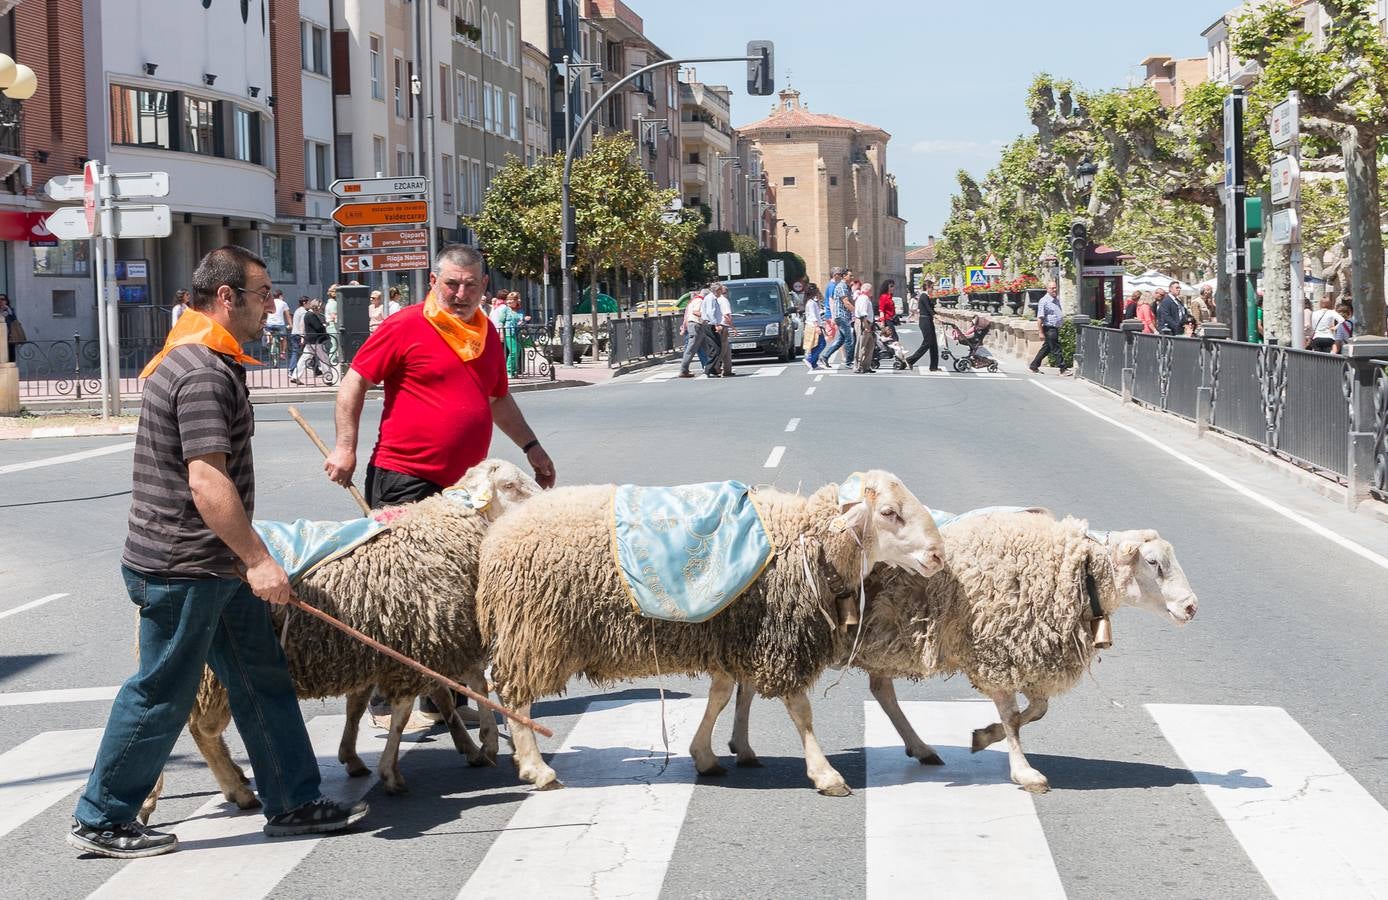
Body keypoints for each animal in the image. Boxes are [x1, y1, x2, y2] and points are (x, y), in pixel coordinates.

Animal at [139, 458, 541, 822]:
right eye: (510, 486)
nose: (545, 501)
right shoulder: (420, 642)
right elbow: (407, 711)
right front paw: (395, 772)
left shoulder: (391, 645)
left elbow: (362, 706)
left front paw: (355, 757)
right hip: (212, 669)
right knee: (200, 729)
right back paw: (231, 790)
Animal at [474, 472, 943, 794]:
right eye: (889, 513)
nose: (938, 555)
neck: (806, 542)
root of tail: (496, 537)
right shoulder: (777, 637)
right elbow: (800, 710)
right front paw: (825, 773)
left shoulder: (737, 633)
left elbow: (723, 695)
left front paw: (708, 754)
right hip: (534, 630)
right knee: (514, 694)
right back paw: (537, 768)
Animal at [732, 511, 1199, 788]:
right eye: (1154, 563)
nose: (1192, 607)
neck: (1074, 570)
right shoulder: (998, 651)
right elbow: (1013, 715)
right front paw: (1023, 770)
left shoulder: (1020, 654)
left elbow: (1036, 710)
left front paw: (983, 737)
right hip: (786, 632)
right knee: (773, 689)